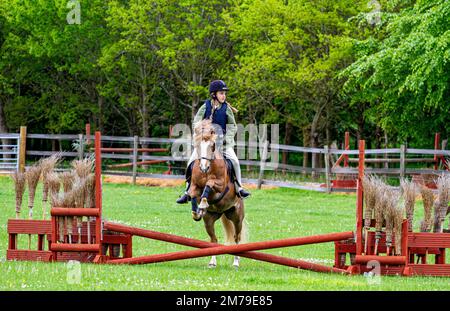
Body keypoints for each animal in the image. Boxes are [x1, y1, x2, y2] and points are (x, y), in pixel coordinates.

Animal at [188, 118, 248, 270]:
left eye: (212, 145)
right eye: (198, 145)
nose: (203, 167)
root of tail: (223, 212)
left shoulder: (220, 185)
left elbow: (209, 184)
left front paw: (203, 203)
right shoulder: (194, 186)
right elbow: (192, 193)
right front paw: (196, 211)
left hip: (237, 217)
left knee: (237, 238)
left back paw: (236, 262)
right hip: (209, 219)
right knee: (213, 240)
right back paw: (212, 262)